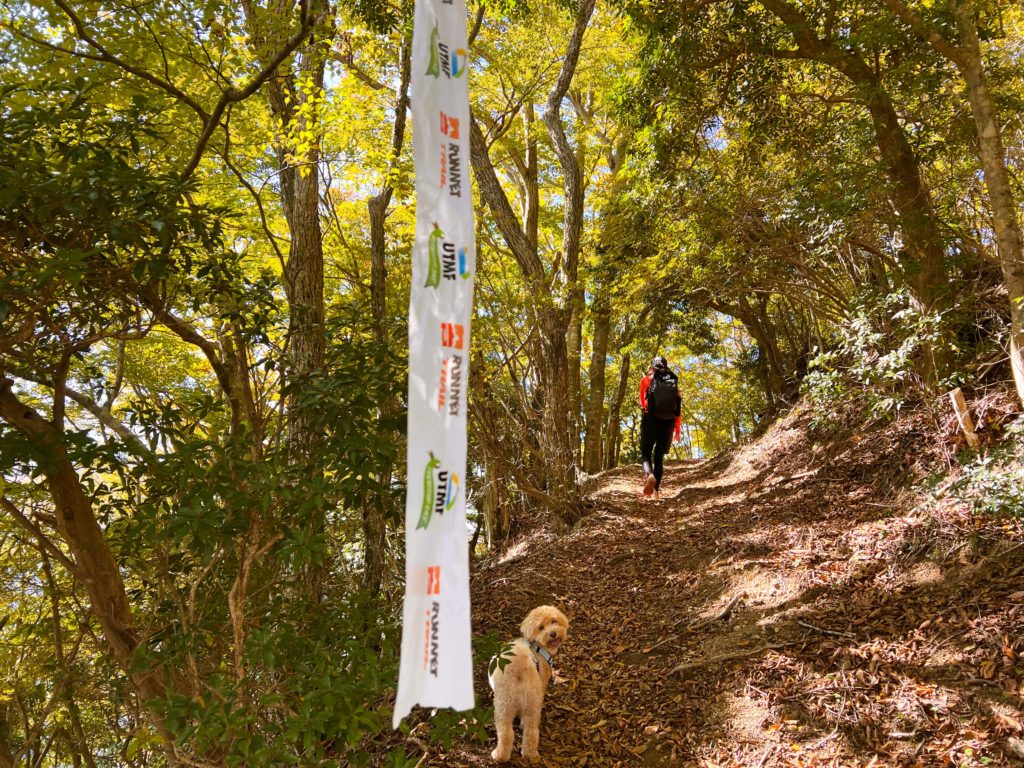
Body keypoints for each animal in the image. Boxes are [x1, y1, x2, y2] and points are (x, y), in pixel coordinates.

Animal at [488, 605, 569, 763]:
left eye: (554, 621)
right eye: (541, 627)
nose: (553, 634)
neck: (537, 646)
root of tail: (519, 673)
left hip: (504, 708)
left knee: (507, 733)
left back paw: (502, 756)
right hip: (531, 706)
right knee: (530, 732)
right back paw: (530, 755)